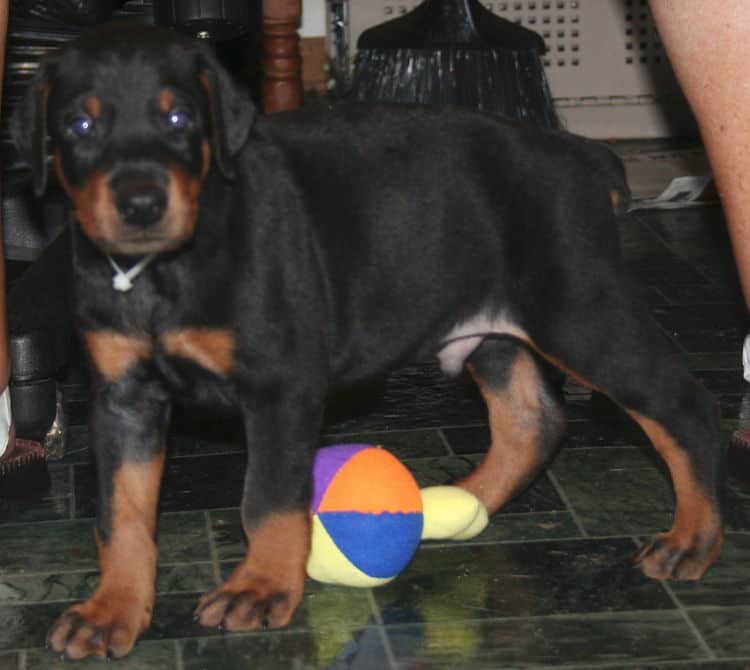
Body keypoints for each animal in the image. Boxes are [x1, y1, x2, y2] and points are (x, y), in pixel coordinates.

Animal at [11, 21, 724, 660]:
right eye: (78, 126)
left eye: (181, 116)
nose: (140, 204)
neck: (163, 270)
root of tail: (584, 156)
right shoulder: (122, 399)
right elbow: (121, 515)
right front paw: (112, 610)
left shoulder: (281, 385)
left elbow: (267, 498)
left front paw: (260, 587)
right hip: (493, 330)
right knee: (533, 421)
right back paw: (460, 504)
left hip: (581, 313)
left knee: (682, 407)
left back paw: (692, 538)